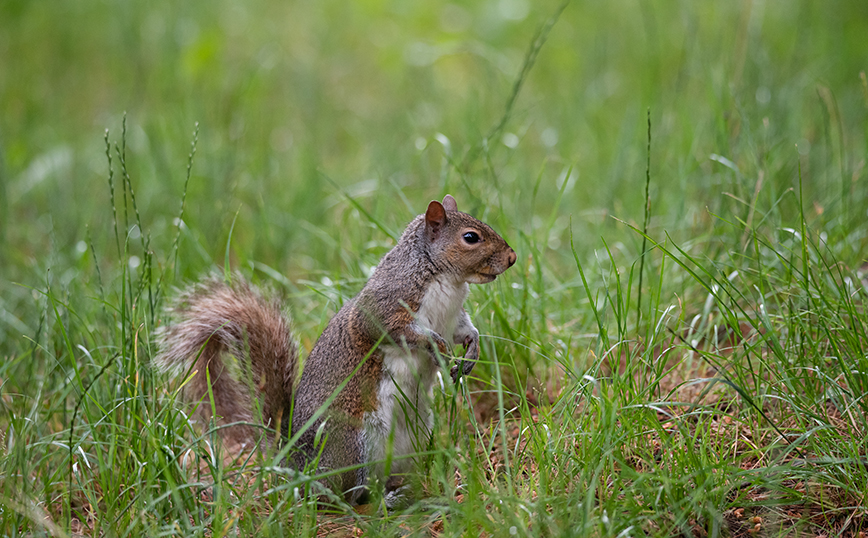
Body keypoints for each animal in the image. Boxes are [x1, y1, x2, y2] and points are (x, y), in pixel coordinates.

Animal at [154, 193, 516, 502]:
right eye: (471, 237)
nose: (512, 258)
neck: (446, 279)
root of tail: (294, 460)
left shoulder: (453, 317)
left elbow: (466, 331)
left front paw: (470, 352)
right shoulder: (384, 308)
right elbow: (394, 331)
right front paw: (436, 346)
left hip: (413, 435)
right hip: (352, 443)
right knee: (344, 495)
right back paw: (383, 500)